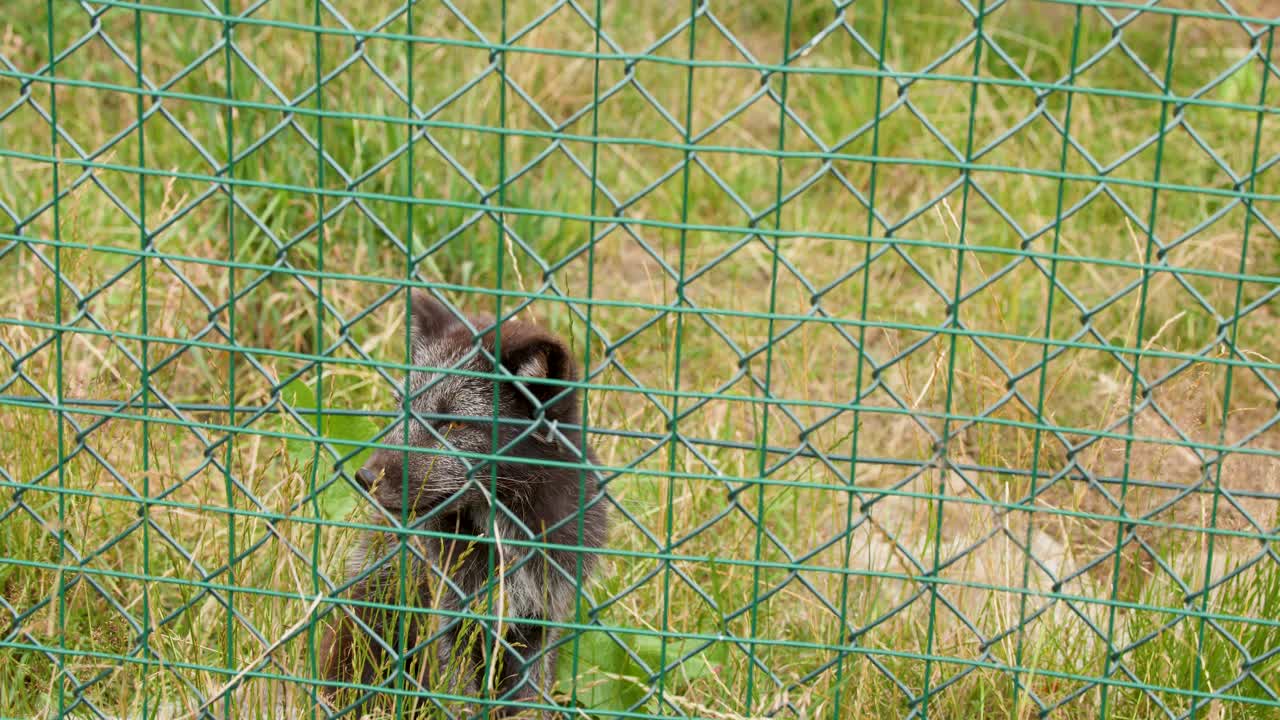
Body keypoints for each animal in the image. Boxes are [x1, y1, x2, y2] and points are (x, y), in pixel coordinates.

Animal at [317, 289, 610, 718]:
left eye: (453, 424)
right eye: (402, 407)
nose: (366, 478)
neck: (502, 532)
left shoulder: (541, 622)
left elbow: (528, 704)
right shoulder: (446, 617)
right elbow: (459, 700)